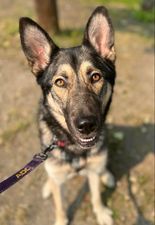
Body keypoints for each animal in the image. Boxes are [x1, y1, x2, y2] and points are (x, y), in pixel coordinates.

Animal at [19, 6, 116, 225]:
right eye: (60, 82)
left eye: (95, 76)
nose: (86, 125)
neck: (74, 148)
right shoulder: (58, 178)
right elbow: (60, 205)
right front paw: (61, 219)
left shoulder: (93, 170)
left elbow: (96, 195)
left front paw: (101, 212)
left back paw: (106, 175)